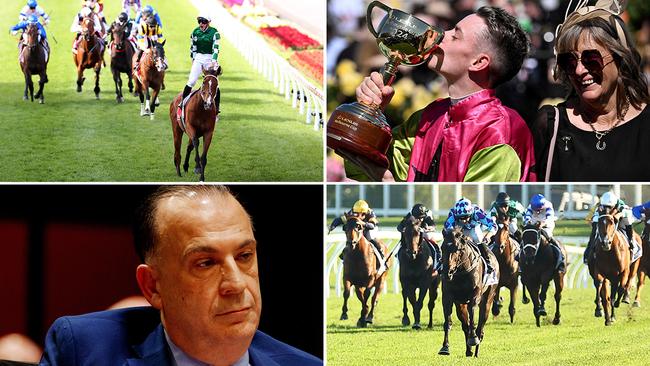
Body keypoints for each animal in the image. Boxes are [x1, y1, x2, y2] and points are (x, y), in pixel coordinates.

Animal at [438, 226, 498, 358]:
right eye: (442, 247)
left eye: (457, 248)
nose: (447, 273)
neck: (461, 271)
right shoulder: (448, 297)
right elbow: (448, 321)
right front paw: (445, 347)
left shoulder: (475, 296)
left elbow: (473, 318)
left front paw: (473, 338)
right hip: (460, 304)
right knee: (465, 325)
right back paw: (469, 351)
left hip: (488, 299)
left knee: (481, 326)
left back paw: (476, 350)